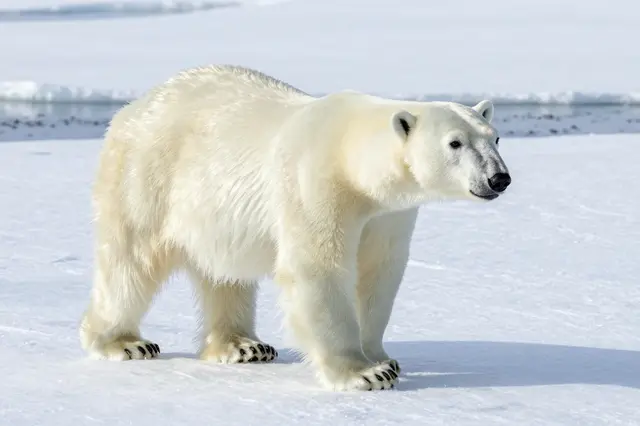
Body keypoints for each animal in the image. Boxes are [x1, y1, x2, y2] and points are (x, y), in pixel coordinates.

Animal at [79, 64, 511, 391]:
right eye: (455, 143)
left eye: (495, 138)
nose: (498, 178)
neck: (354, 158)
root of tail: (133, 107)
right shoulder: (316, 182)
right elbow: (319, 269)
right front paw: (364, 373)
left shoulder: (388, 214)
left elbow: (378, 274)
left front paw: (382, 357)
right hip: (146, 175)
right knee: (130, 262)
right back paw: (123, 342)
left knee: (223, 275)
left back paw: (243, 346)